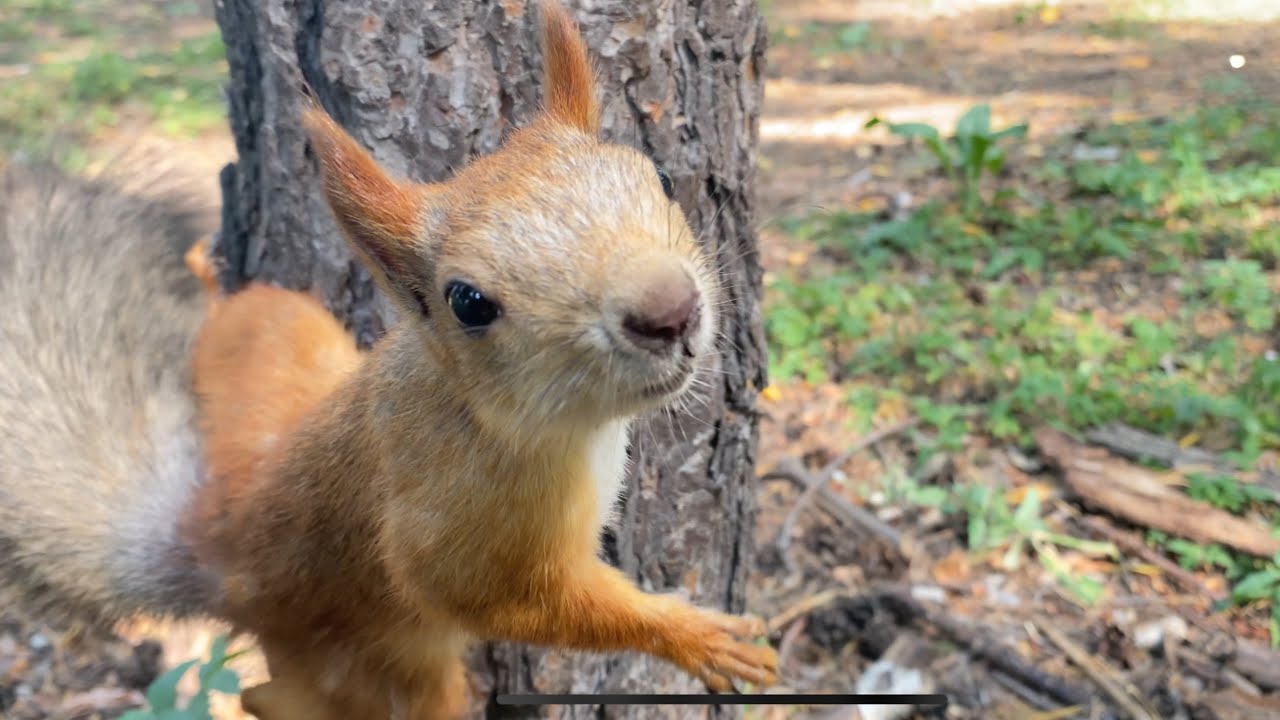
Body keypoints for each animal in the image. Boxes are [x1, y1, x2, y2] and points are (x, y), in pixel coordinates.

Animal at [0, 2, 779, 717]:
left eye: (660, 177)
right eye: (468, 302)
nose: (670, 310)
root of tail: (226, 547)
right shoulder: (463, 525)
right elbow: (515, 603)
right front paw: (700, 639)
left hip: (283, 339)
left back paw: (210, 280)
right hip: (382, 674)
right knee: (284, 694)